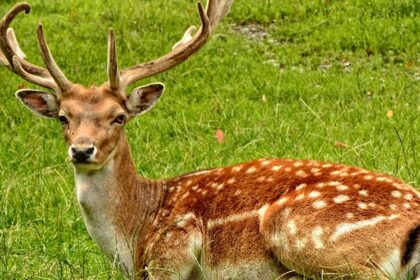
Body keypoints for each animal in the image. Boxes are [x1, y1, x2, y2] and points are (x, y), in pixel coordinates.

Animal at [0, 1, 420, 278]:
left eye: (118, 117)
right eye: (63, 117)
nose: (82, 149)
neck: (134, 234)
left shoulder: (171, 252)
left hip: (302, 233)